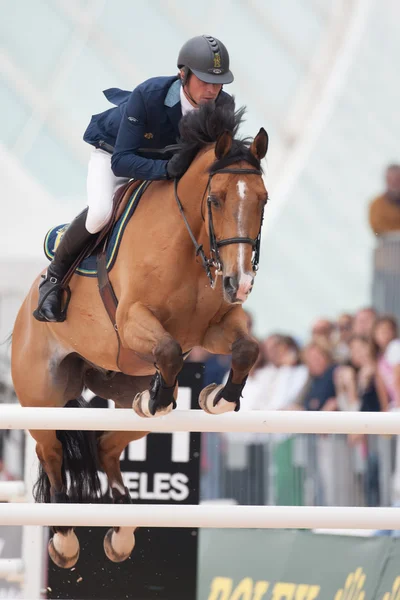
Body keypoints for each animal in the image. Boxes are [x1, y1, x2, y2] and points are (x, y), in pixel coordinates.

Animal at [10, 97, 268, 568]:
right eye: (216, 199)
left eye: (263, 199)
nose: (239, 283)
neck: (189, 244)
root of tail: (23, 310)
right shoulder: (133, 320)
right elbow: (166, 349)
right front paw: (161, 397)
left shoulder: (212, 328)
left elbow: (246, 349)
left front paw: (219, 399)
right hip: (41, 397)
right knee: (51, 455)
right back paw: (64, 539)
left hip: (119, 390)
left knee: (108, 447)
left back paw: (122, 529)